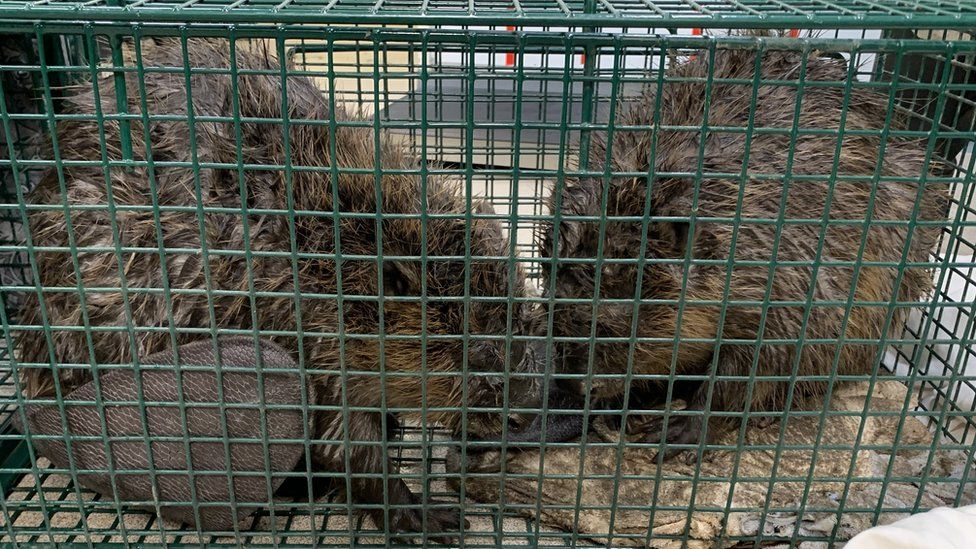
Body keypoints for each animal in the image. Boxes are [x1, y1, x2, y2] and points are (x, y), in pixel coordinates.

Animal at [15, 37, 544, 536]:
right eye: (479, 351)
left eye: (524, 319)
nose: (525, 413)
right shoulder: (313, 338)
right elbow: (346, 445)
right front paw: (426, 516)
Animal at [536, 39, 948, 458]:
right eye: (551, 306)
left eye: (612, 321)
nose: (570, 384)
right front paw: (625, 406)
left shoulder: (790, 275)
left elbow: (768, 356)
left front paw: (680, 427)